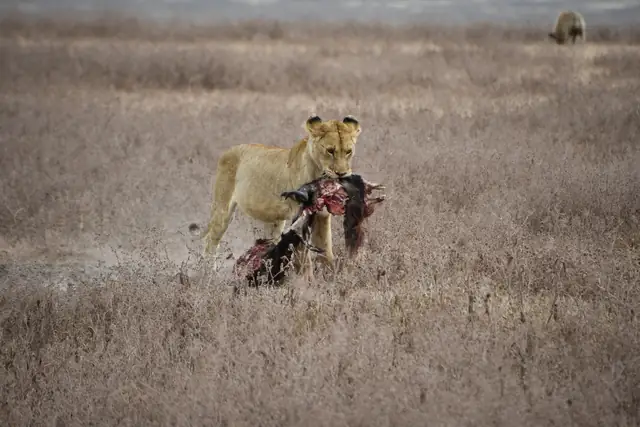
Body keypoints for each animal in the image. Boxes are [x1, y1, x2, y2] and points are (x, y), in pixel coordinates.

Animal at [199, 114, 363, 274]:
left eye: (348, 151)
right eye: (330, 151)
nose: (342, 174)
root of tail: (229, 150)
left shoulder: (322, 216)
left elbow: (326, 253)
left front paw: (331, 277)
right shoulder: (299, 218)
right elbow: (304, 260)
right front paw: (306, 280)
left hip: (274, 222)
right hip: (222, 210)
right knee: (210, 242)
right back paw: (208, 274)